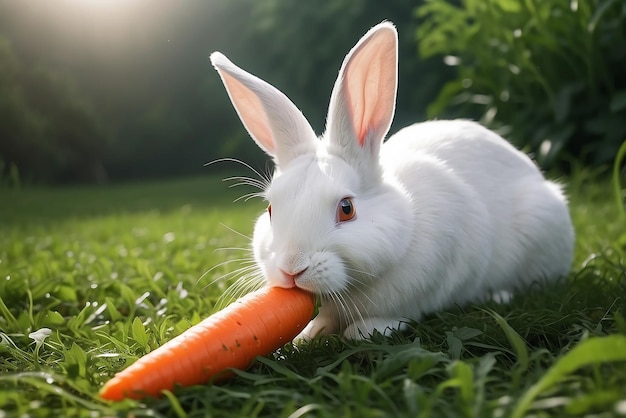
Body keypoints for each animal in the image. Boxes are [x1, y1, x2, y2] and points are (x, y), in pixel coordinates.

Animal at [208, 21, 572, 340]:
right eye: (271, 210)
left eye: (346, 208)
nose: (291, 268)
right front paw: (309, 335)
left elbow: (398, 316)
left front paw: (361, 332)